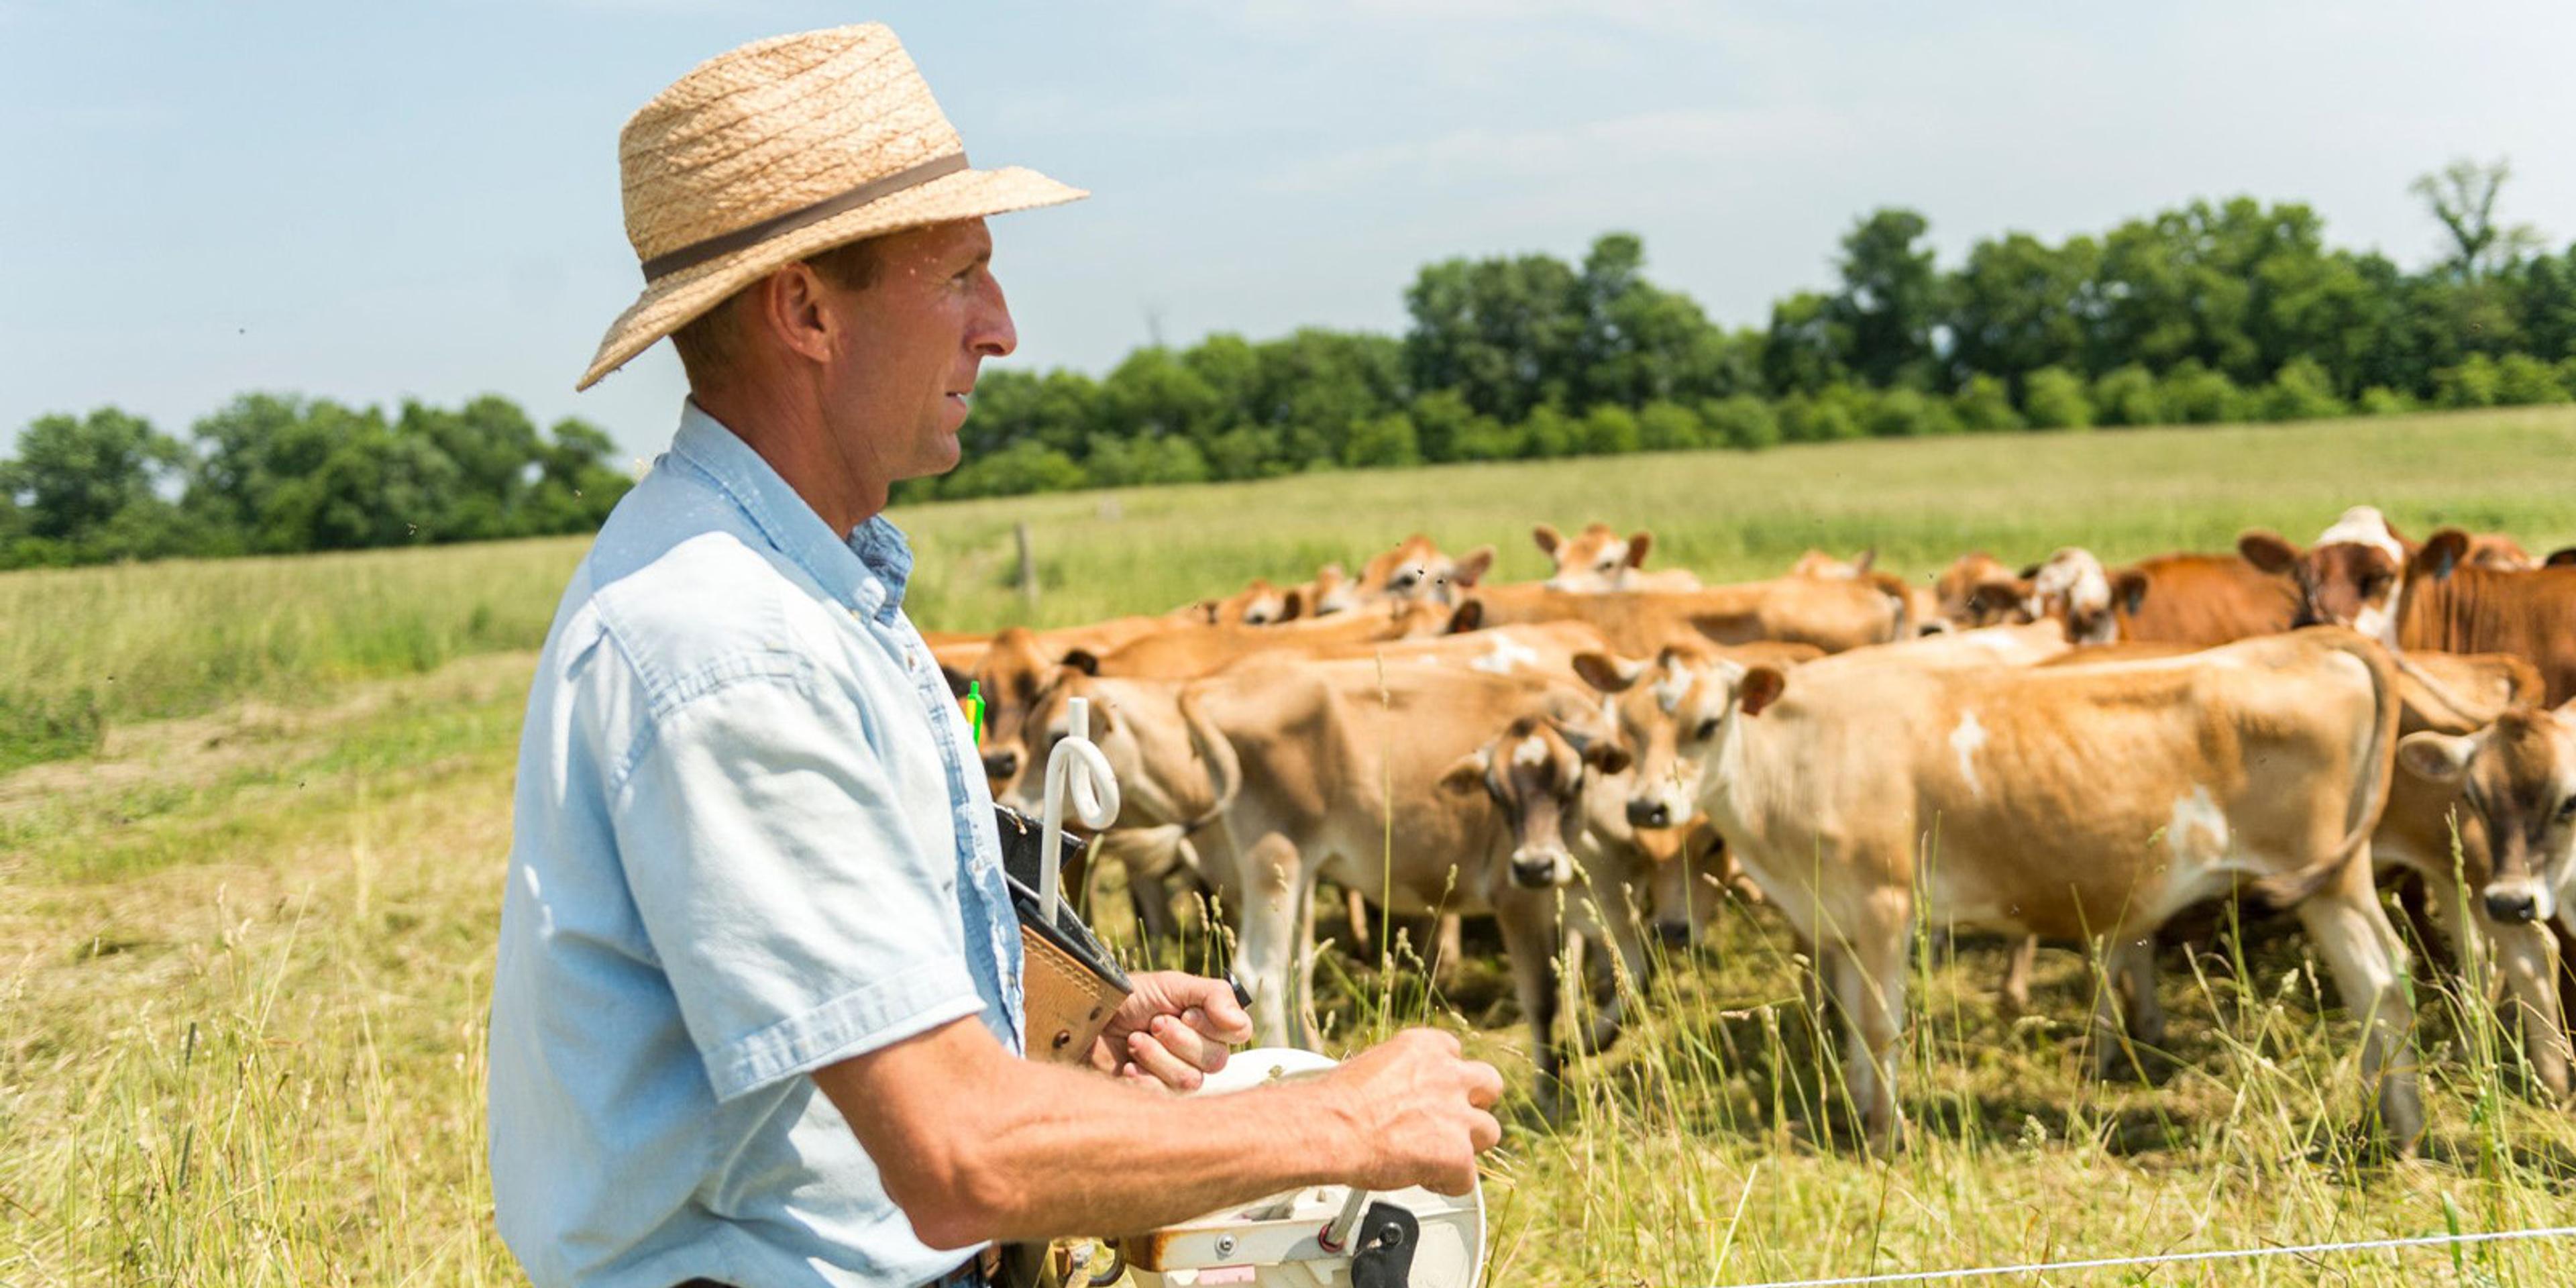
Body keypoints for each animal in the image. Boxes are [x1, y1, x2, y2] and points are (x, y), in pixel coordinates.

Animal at [1576, 628, 2421, 1154]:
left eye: (1707, 723)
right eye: (1626, 727)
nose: (1648, 808)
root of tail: (2304, 641)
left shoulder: (1885, 904)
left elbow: (1881, 1025)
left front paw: (1888, 1135)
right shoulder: (1838, 916)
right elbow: (1851, 1024)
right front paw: (1858, 1112)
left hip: (2330, 879)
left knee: (2380, 980)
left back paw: (2401, 1130)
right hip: (2333, 885)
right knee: (2378, 984)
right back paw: (2385, 1123)